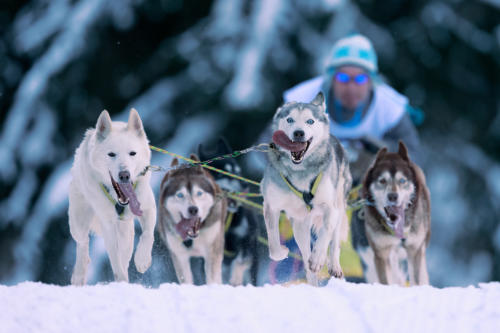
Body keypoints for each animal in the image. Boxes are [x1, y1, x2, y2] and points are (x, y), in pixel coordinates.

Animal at [67, 108, 155, 282]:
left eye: (132, 153)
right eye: (111, 154)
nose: (124, 175)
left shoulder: (148, 207)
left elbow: (148, 234)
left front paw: (142, 260)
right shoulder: (108, 225)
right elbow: (115, 262)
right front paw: (121, 282)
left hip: (126, 233)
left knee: (125, 256)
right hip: (79, 222)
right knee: (83, 244)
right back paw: (79, 274)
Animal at [262, 91, 352, 286]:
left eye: (310, 121)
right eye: (290, 119)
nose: (298, 133)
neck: (300, 170)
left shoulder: (330, 208)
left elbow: (324, 235)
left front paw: (318, 259)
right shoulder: (271, 206)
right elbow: (273, 244)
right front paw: (283, 252)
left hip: (340, 207)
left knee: (334, 241)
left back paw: (332, 265)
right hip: (299, 225)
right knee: (304, 253)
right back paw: (312, 279)